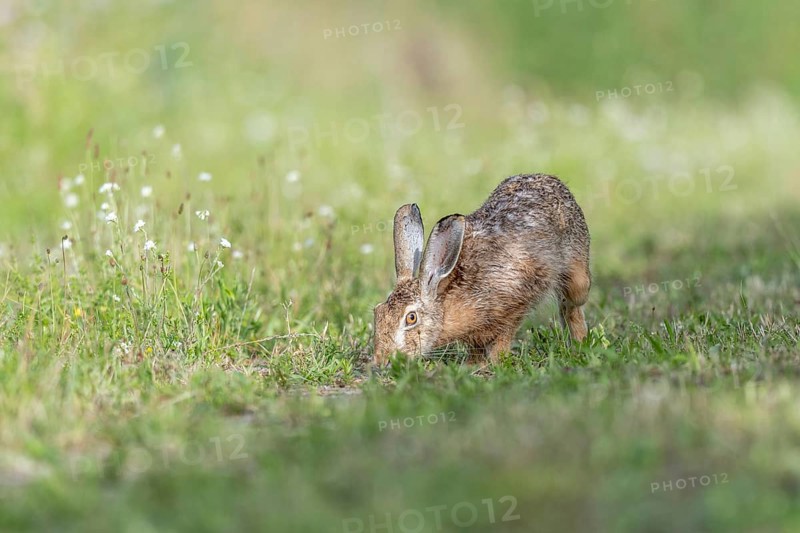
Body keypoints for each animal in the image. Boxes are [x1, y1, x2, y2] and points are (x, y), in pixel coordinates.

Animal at [373, 173, 591, 366]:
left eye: (411, 318)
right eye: (378, 311)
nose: (382, 360)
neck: (445, 301)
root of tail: (548, 178)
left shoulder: (514, 307)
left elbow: (502, 339)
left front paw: (495, 363)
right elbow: (476, 347)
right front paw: (472, 365)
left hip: (578, 273)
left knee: (571, 304)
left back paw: (580, 343)